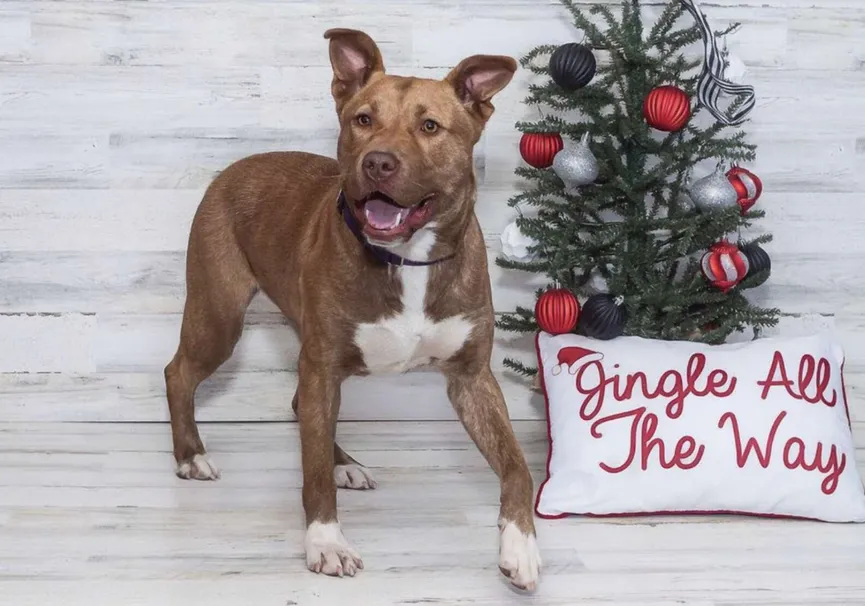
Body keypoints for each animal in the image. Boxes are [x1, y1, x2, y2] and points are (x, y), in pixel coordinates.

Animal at [164, 26, 540, 592]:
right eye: (363, 119)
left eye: (430, 126)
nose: (378, 162)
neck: (407, 258)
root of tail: (238, 165)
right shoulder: (323, 365)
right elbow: (313, 474)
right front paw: (326, 543)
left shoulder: (472, 378)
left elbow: (519, 466)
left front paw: (520, 545)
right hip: (220, 314)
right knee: (180, 373)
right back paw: (192, 455)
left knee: (301, 405)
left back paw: (346, 463)